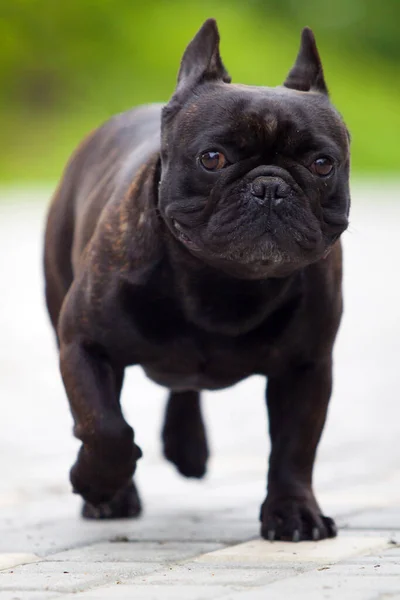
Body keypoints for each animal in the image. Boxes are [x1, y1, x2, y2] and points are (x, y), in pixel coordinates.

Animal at [44, 18, 350, 540]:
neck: (221, 280)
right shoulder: (83, 344)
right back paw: (118, 494)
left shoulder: (306, 369)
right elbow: (105, 427)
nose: (270, 186)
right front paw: (97, 483)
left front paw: (293, 512)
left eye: (322, 164)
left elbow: (294, 448)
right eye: (212, 158)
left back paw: (187, 447)